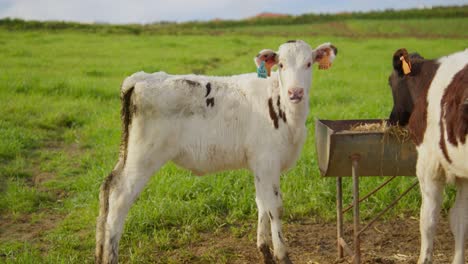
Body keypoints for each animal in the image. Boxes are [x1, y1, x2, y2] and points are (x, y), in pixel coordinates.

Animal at [388, 48, 468, 262]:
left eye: (390, 82)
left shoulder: (428, 163)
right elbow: (460, 220)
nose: (391, 121)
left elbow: (428, 219)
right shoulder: (463, 172)